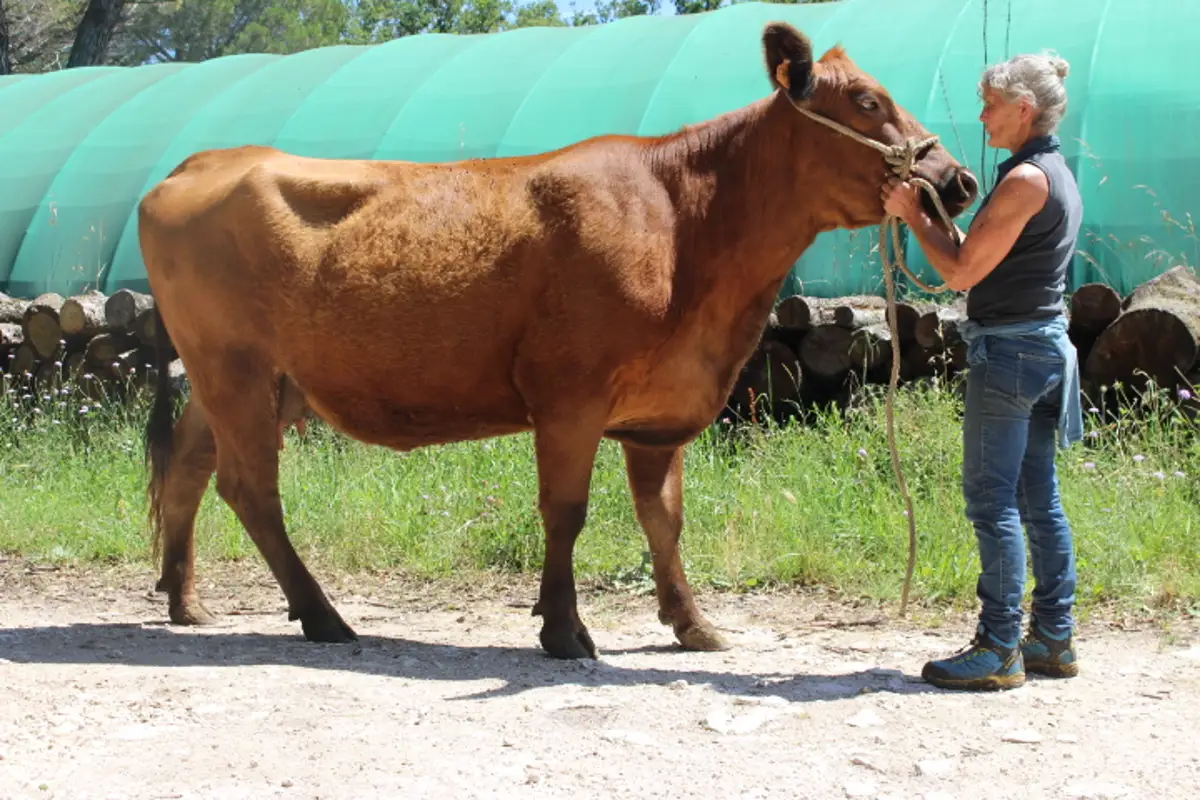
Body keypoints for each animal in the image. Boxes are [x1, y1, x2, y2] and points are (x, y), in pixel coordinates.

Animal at [137, 21, 979, 660]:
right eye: (867, 100)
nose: (960, 181)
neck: (686, 224)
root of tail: (203, 160)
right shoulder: (570, 394)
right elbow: (567, 511)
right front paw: (565, 629)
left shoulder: (659, 410)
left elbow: (663, 519)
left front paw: (692, 623)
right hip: (236, 367)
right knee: (250, 488)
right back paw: (322, 615)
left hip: (253, 379)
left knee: (189, 468)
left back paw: (185, 599)